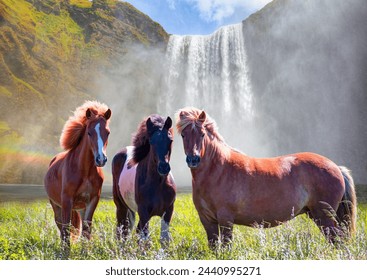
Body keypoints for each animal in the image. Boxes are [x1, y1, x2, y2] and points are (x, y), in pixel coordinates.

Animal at [44, 100, 111, 249]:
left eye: (108, 132)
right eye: (89, 132)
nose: (101, 159)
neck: (84, 171)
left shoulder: (92, 200)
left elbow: (86, 230)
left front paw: (85, 251)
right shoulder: (66, 200)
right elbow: (66, 229)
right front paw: (65, 252)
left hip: (80, 208)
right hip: (56, 205)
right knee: (61, 227)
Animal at [111, 114, 176, 245]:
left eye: (170, 140)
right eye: (151, 141)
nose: (163, 167)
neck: (158, 184)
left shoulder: (168, 211)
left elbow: (164, 239)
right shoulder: (144, 212)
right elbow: (145, 241)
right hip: (121, 207)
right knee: (122, 232)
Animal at [177, 106, 358, 248]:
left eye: (202, 134)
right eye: (183, 135)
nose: (193, 159)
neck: (218, 170)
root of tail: (336, 167)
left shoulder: (225, 219)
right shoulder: (207, 220)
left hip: (324, 216)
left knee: (338, 241)